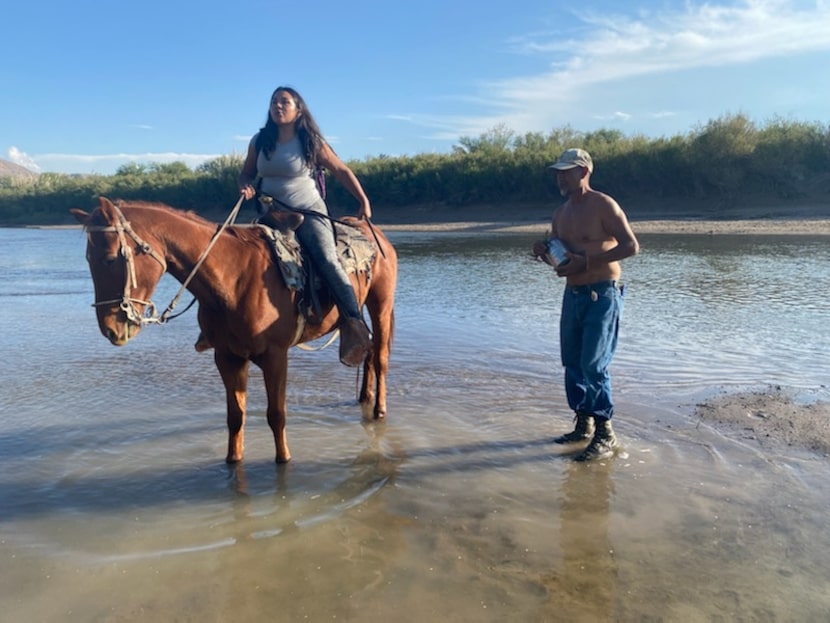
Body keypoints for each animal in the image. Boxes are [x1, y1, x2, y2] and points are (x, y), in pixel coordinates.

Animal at [71, 197, 396, 466]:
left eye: (109, 259)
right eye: (87, 259)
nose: (111, 329)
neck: (234, 278)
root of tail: (377, 236)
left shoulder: (276, 356)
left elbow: (276, 415)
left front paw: (284, 462)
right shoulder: (227, 356)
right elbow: (235, 416)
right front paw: (233, 462)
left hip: (381, 305)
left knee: (380, 357)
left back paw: (379, 410)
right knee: (367, 351)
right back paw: (364, 397)